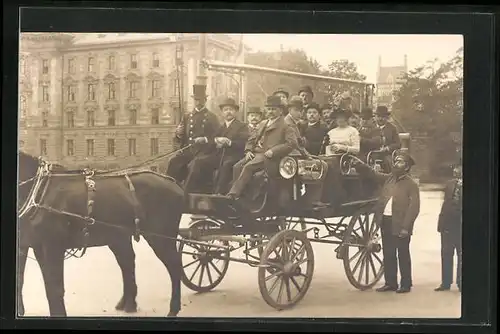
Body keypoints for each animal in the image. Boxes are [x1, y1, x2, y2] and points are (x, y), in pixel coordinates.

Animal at [17, 153, 187, 318]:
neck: (40, 190)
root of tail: (174, 184)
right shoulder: (35, 246)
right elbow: (29, 280)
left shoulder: (53, 246)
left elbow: (54, 287)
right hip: (119, 236)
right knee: (128, 262)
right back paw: (129, 304)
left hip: (160, 236)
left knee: (174, 266)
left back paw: (173, 308)